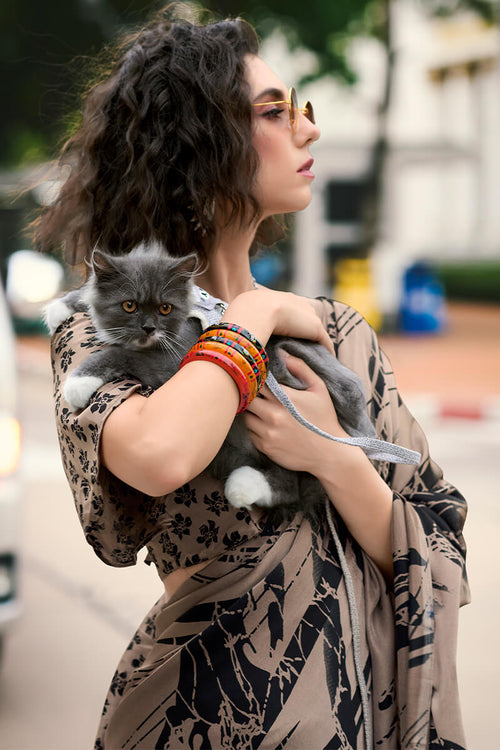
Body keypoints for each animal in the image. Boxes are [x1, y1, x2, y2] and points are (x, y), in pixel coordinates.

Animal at [47, 244, 376, 516]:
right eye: (129, 305)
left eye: (165, 308)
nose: (148, 328)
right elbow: (91, 297)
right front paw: (61, 306)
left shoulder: (174, 359)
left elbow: (121, 353)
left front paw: (78, 383)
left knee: (294, 481)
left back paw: (244, 485)